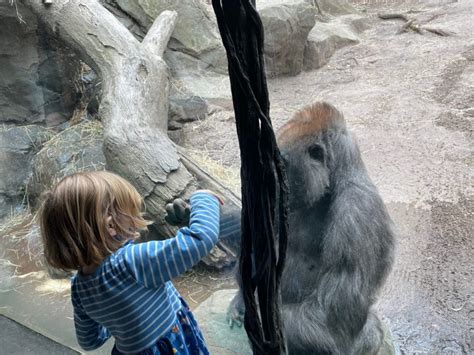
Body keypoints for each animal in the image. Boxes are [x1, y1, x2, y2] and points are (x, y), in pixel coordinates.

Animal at [226, 101, 396, 354]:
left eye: (282, 164)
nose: (271, 181)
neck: (335, 179)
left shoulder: (358, 214)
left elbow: (331, 324)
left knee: (368, 330)